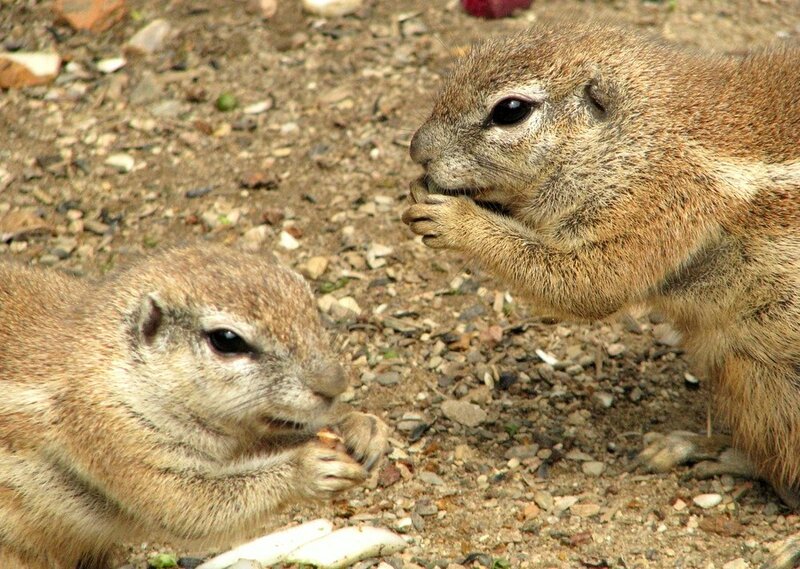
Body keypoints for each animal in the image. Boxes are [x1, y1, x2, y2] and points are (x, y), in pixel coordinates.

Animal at [0, 245, 389, 569]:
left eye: (309, 301)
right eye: (226, 340)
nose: (335, 383)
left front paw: (362, 428)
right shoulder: (112, 432)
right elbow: (188, 506)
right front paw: (309, 467)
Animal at [402, 23, 800, 568]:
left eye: (510, 110)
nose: (416, 151)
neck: (639, 136)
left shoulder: (657, 201)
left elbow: (588, 283)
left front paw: (455, 221)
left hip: (769, 380)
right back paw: (691, 445)